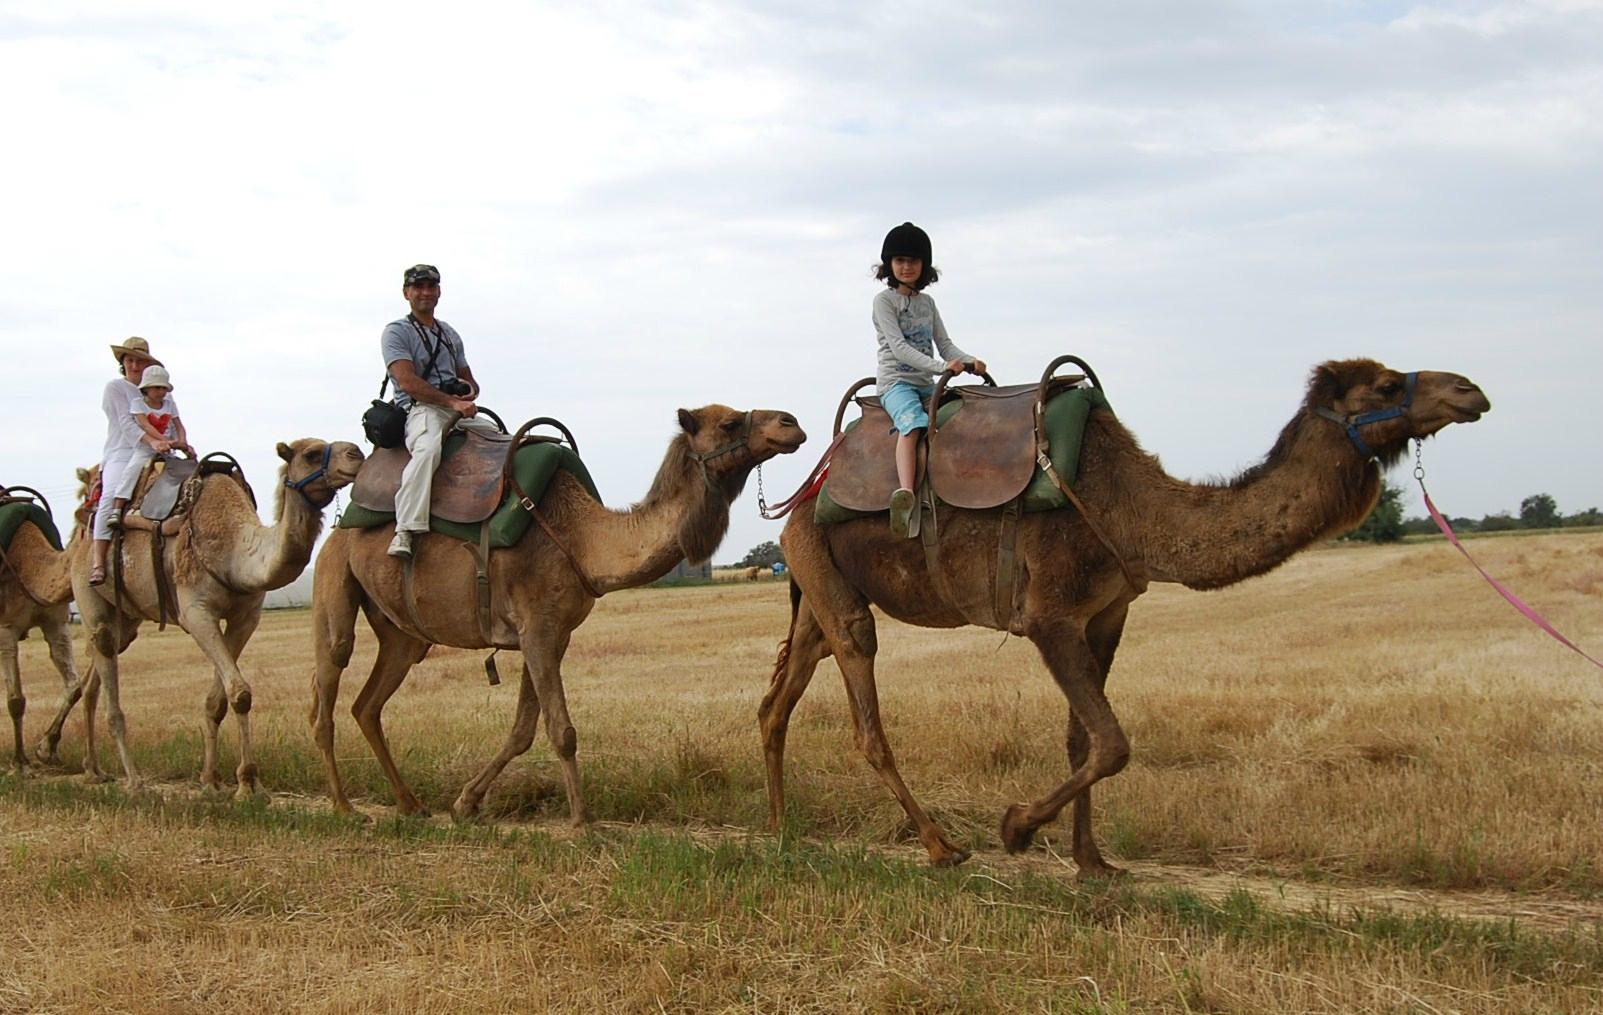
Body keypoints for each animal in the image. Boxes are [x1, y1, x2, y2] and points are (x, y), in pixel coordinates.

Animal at [0, 503, 81, 772]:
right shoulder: (6, 629)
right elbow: (16, 700)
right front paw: (20, 761)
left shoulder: (56, 625)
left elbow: (75, 687)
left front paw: (47, 749)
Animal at [68, 439, 363, 795]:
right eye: (311, 454)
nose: (357, 454)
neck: (235, 550)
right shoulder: (196, 612)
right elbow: (240, 692)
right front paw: (247, 785)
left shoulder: (246, 617)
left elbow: (218, 700)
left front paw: (212, 779)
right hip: (89, 594)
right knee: (105, 665)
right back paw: (134, 781)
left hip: (128, 617)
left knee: (94, 677)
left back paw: (93, 770)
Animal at [307, 404, 807, 820]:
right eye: (729, 422)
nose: (791, 424)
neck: (581, 539)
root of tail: (338, 530)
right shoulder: (537, 629)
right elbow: (562, 730)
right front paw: (583, 822)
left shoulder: (553, 632)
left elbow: (524, 729)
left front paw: (465, 803)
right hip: (334, 581)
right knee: (328, 688)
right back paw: (344, 807)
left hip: (403, 634)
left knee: (368, 705)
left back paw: (410, 804)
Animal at [763, 360, 1487, 865]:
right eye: (1386, 383)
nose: (1469, 391)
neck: (1130, 509)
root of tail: (809, 489)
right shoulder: (1048, 614)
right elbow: (1113, 741)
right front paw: (1016, 827)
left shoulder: (1107, 613)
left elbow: (1084, 738)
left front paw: (1093, 861)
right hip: (827, 573)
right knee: (863, 700)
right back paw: (941, 846)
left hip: (817, 584)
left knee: (779, 699)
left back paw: (779, 829)